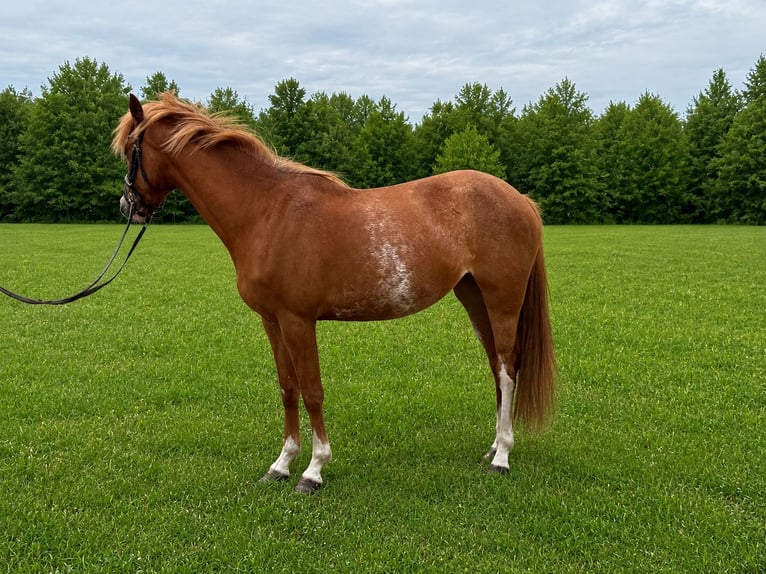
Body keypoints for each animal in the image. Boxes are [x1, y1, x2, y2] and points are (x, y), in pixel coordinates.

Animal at [112, 92, 556, 493]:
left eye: (129, 151)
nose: (127, 207)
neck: (267, 212)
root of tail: (520, 199)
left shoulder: (298, 320)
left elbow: (312, 391)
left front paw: (313, 470)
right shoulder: (272, 320)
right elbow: (287, 387)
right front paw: (281, 464)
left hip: (502, 300)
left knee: (507, 368)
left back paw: (502, 457)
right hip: (473, 297)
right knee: (496, 368)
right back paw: (493, 446)